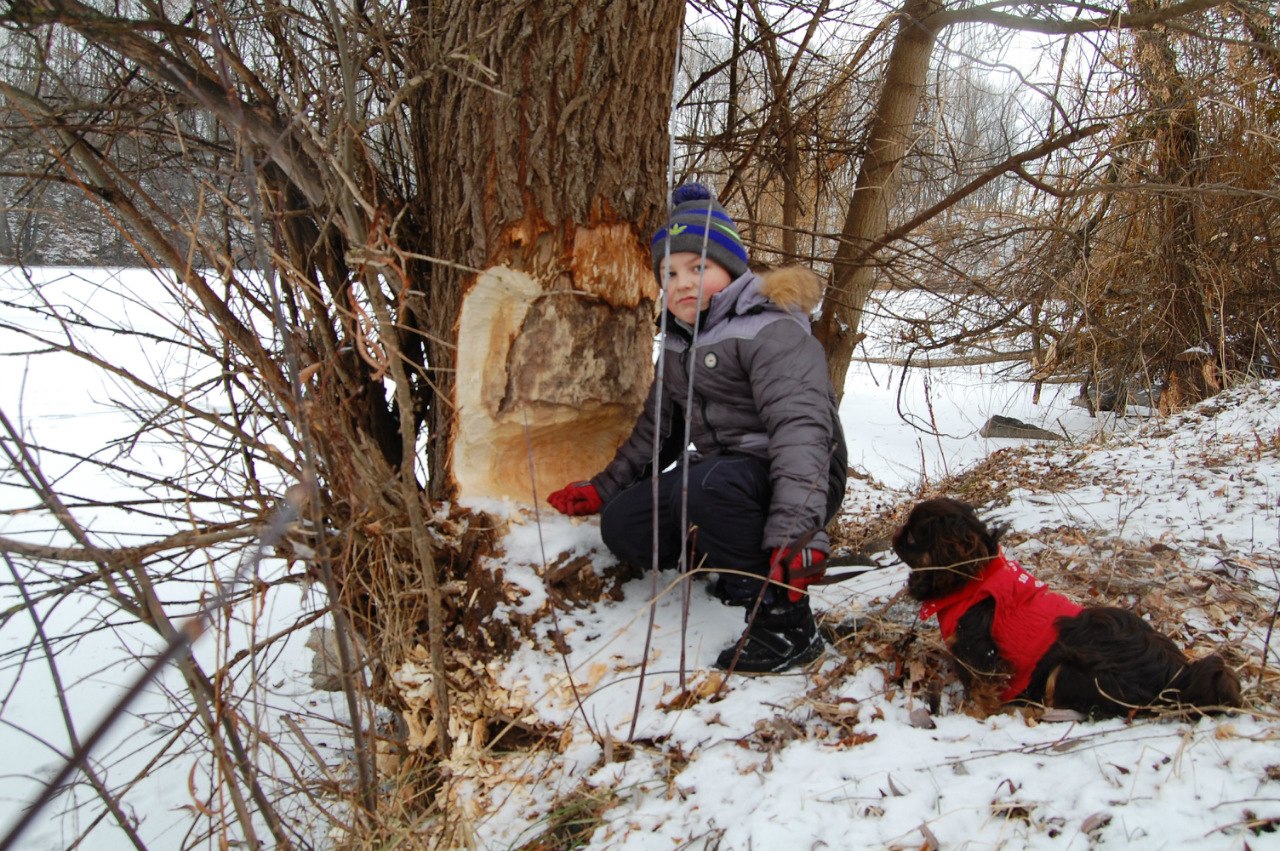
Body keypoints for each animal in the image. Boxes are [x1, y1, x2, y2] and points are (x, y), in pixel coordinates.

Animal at [892, 497, 1242, 718]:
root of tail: (1177, 677)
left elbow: (982, 690)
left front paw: (975, 714)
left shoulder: (983, 657)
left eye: (911, 537)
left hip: (1065, 672)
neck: (973, 580)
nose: (895, 535)